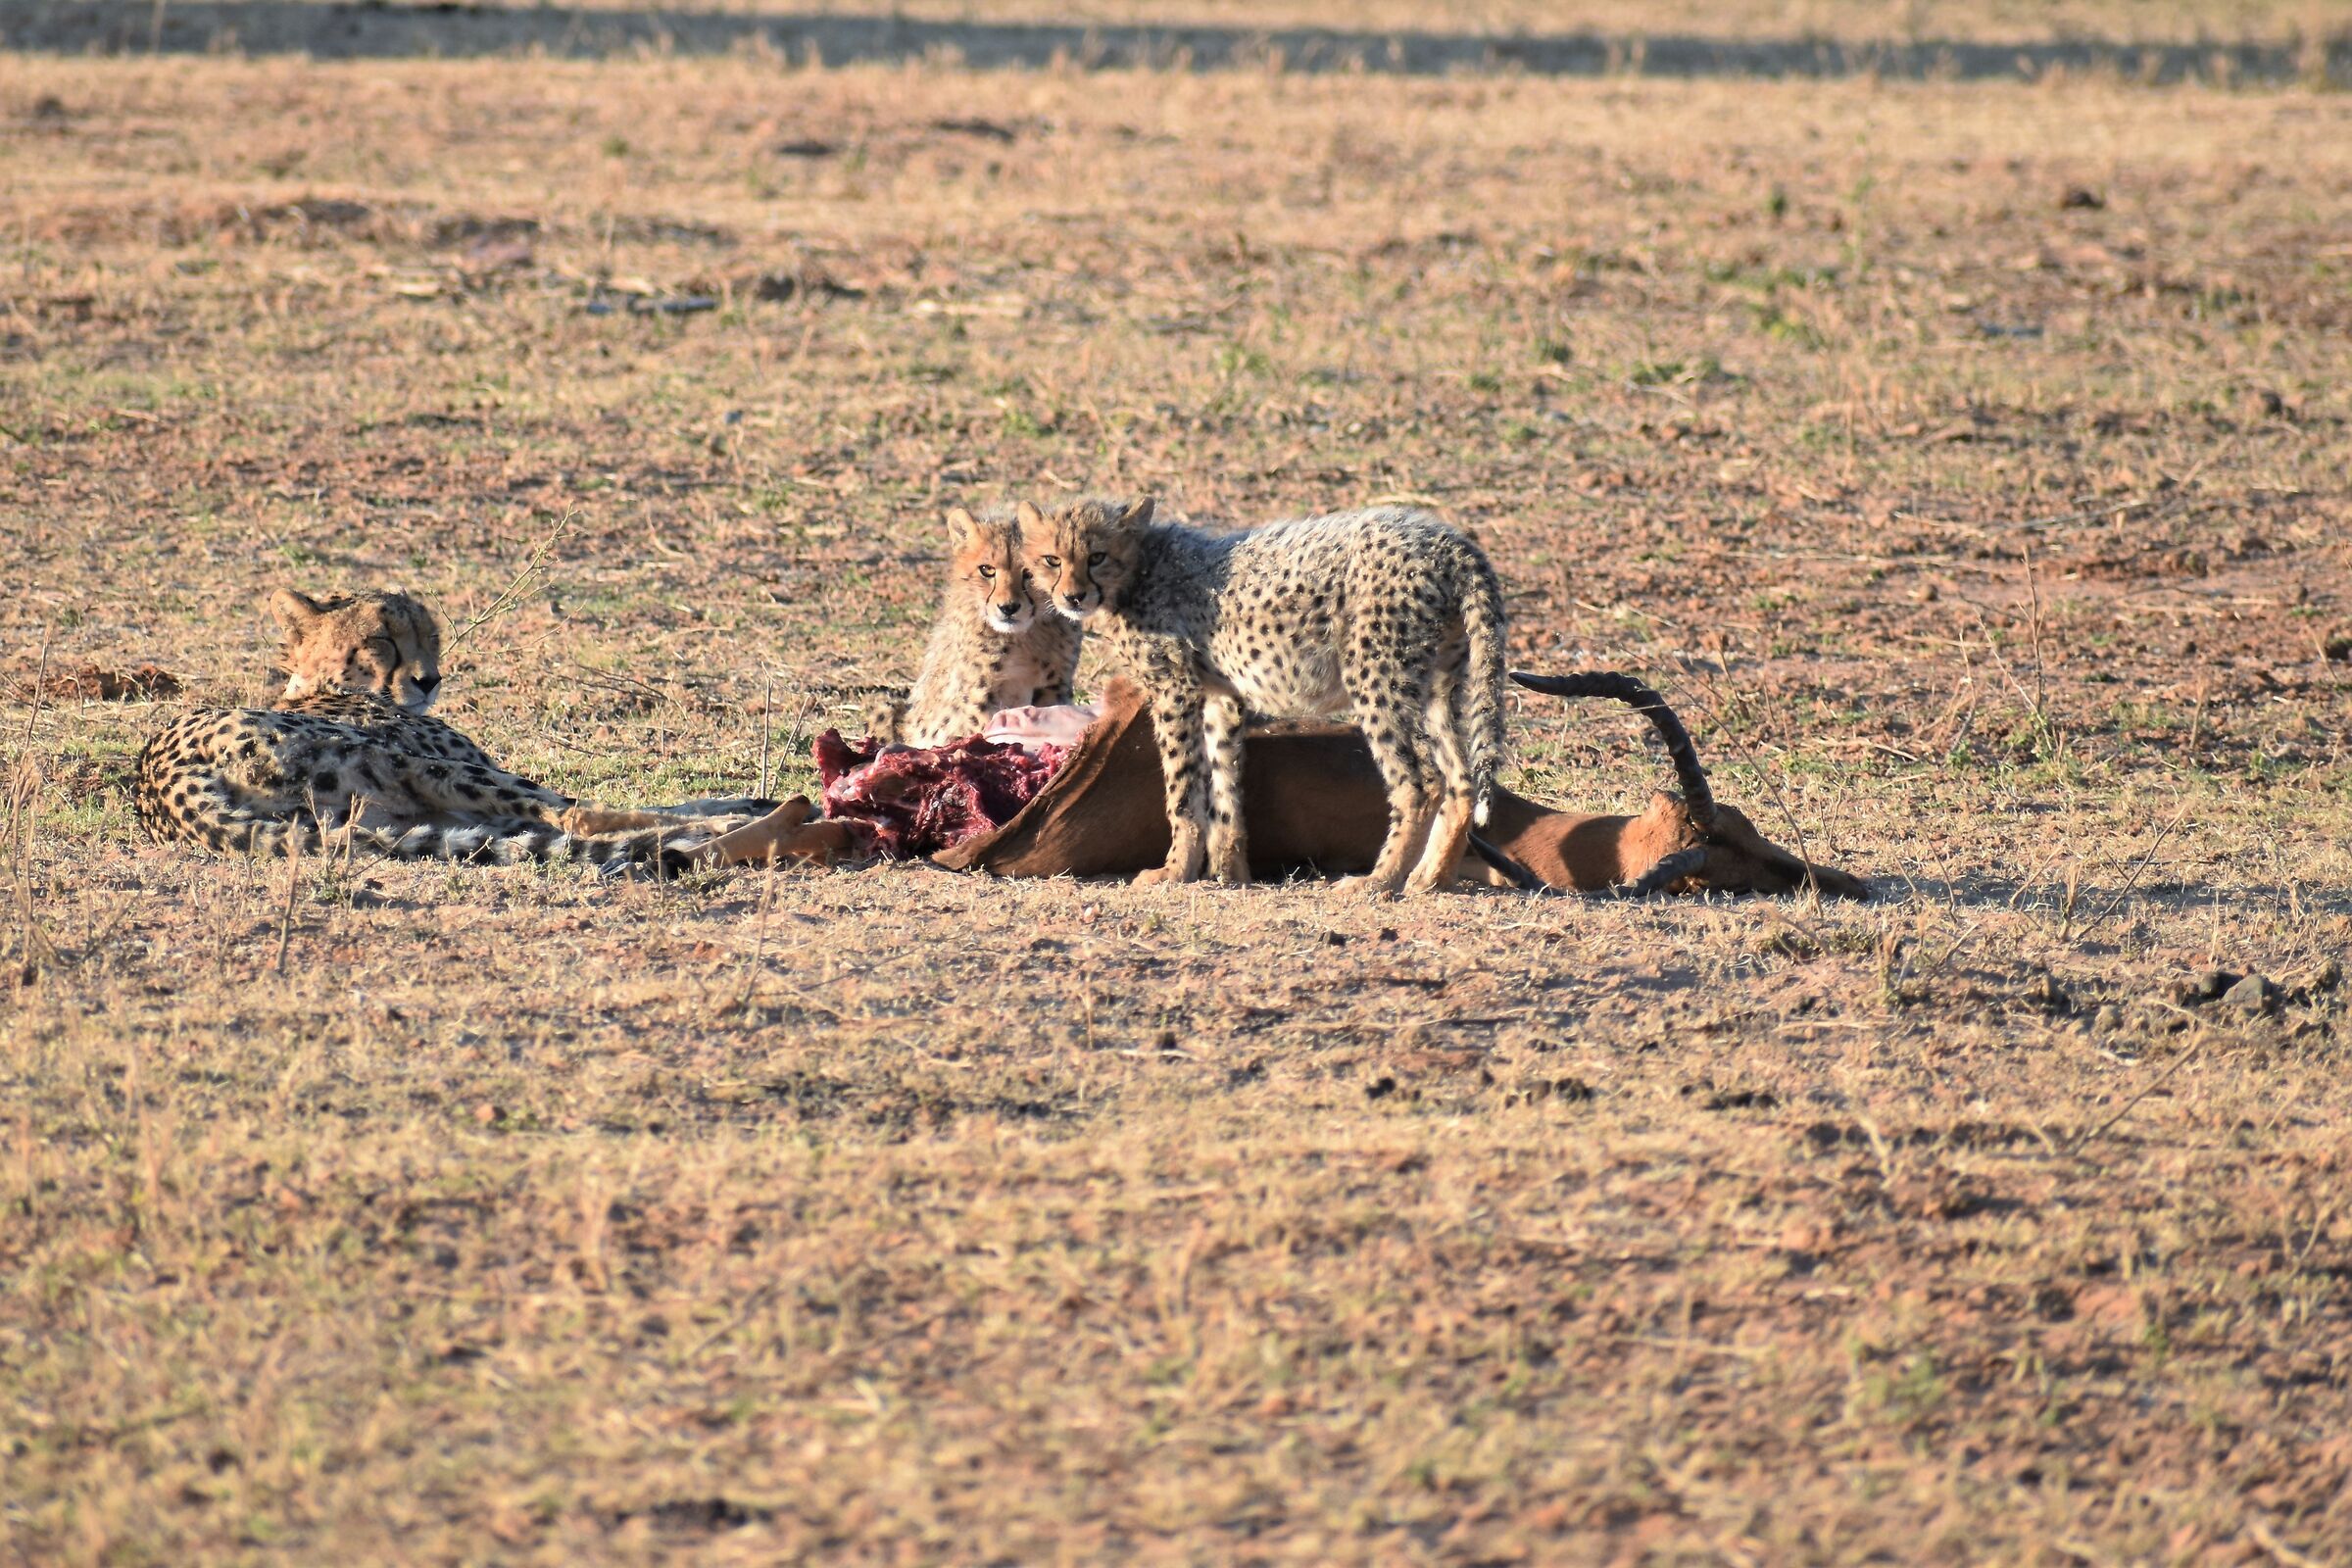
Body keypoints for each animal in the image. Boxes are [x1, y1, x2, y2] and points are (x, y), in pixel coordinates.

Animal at [134, 588, 771, 875]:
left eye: (431, 636)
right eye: (381, 639)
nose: (429, 679)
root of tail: (164, 783)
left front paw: (745, 799)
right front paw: (736, 810)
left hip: (392, 819)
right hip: (423, 769)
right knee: (576, 816)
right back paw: (728, 833)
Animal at [867, 504, 1082, 747]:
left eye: (1030, 572)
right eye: (987, 569)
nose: (1008, 608)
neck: (1023, 636)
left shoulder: (1054, 687)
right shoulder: (980, 695)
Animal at [1018, 497, 1507, 897]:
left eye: (1097, 557)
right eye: (1052, 560)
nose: (1074, 596)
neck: (1141, 568)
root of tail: (1450, 542)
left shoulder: (1175, 689)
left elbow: (1182, 791)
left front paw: (1174, 872)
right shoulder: (1222, 697)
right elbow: (1224, 791)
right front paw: (1229, 874)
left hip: (1377, 677)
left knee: (1421, 781)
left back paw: (1379, 881)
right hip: (1438, 686)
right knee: (1462, 780)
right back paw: (1431, 878)